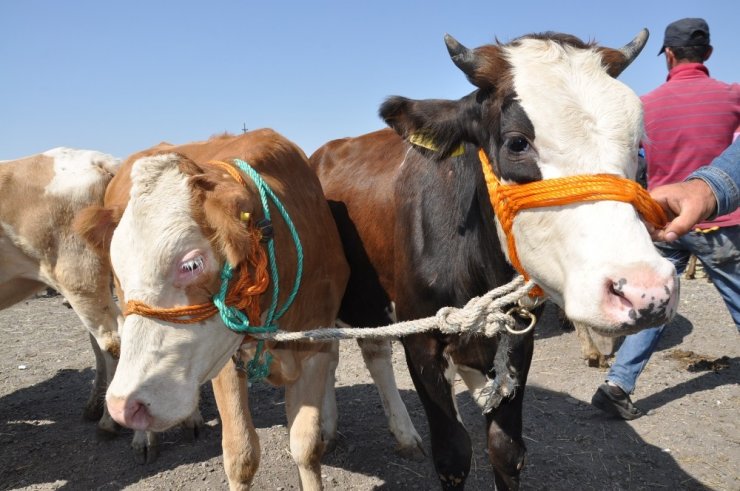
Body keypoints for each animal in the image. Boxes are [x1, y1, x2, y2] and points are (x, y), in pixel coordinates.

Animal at [76, 132, 422, 491]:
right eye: (119, 267)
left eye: (191, 264)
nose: (122, 405)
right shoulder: (227, 361)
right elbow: (240, 456)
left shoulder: (313, 344)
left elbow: (306, 447)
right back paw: (143, 438)